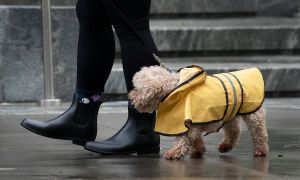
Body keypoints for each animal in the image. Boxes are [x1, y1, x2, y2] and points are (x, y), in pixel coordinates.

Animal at [129, 65, 270, 160]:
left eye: (137, 88)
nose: (130, 96)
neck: (173, 90)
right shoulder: (193, 124)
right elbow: (194, 138)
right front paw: (198, 150)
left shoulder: (187, 123)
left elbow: (184, 139)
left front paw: (174, 153)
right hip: (230, 112)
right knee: (234, 130)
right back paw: (226, 146)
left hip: (253, 114)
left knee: (259, 133)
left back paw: (261, 150)